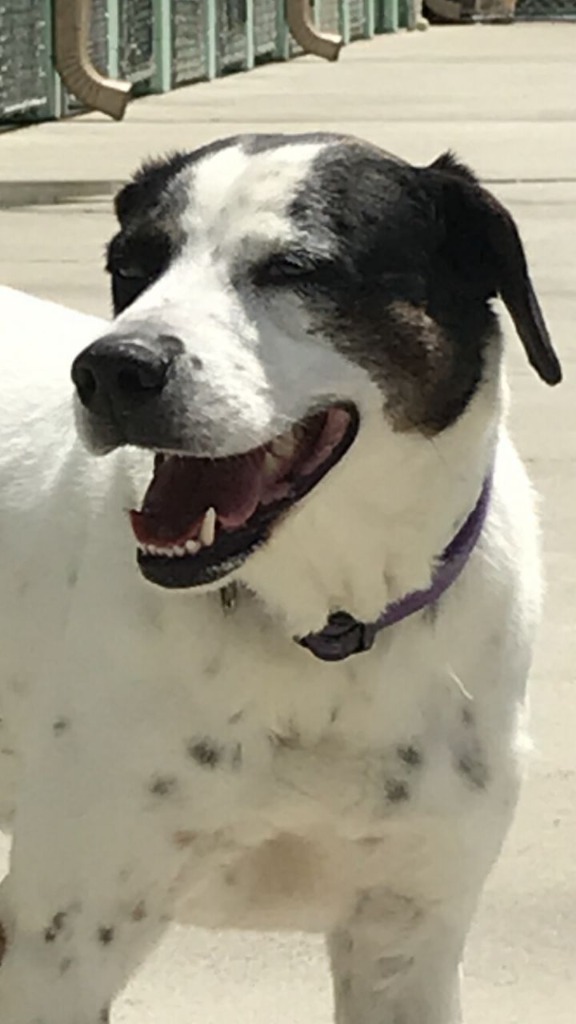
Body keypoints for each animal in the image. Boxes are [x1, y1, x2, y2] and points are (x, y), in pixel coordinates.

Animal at [0, 136, 557, 1024]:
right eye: (131, 266)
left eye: (296, 268)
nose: (111, 368)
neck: (327, 626)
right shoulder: (60, 945)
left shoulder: (408, 943)